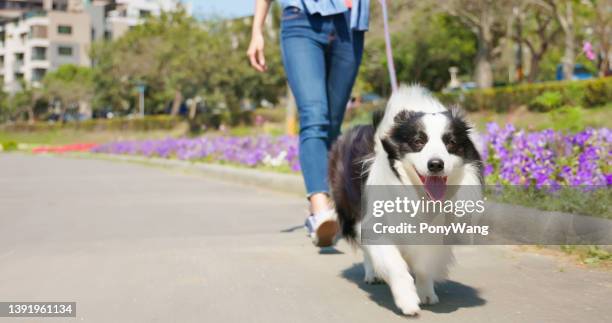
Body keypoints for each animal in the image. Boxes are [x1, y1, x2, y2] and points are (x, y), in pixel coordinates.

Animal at [330, 85, 482, 316]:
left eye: (451, 142)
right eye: (418, 142)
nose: (435, 164)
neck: (418, 194)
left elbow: (424, 262)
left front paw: (426, 292)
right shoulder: (376, 222)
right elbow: (394, 263)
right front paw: (407, 300)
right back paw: (372, 273)